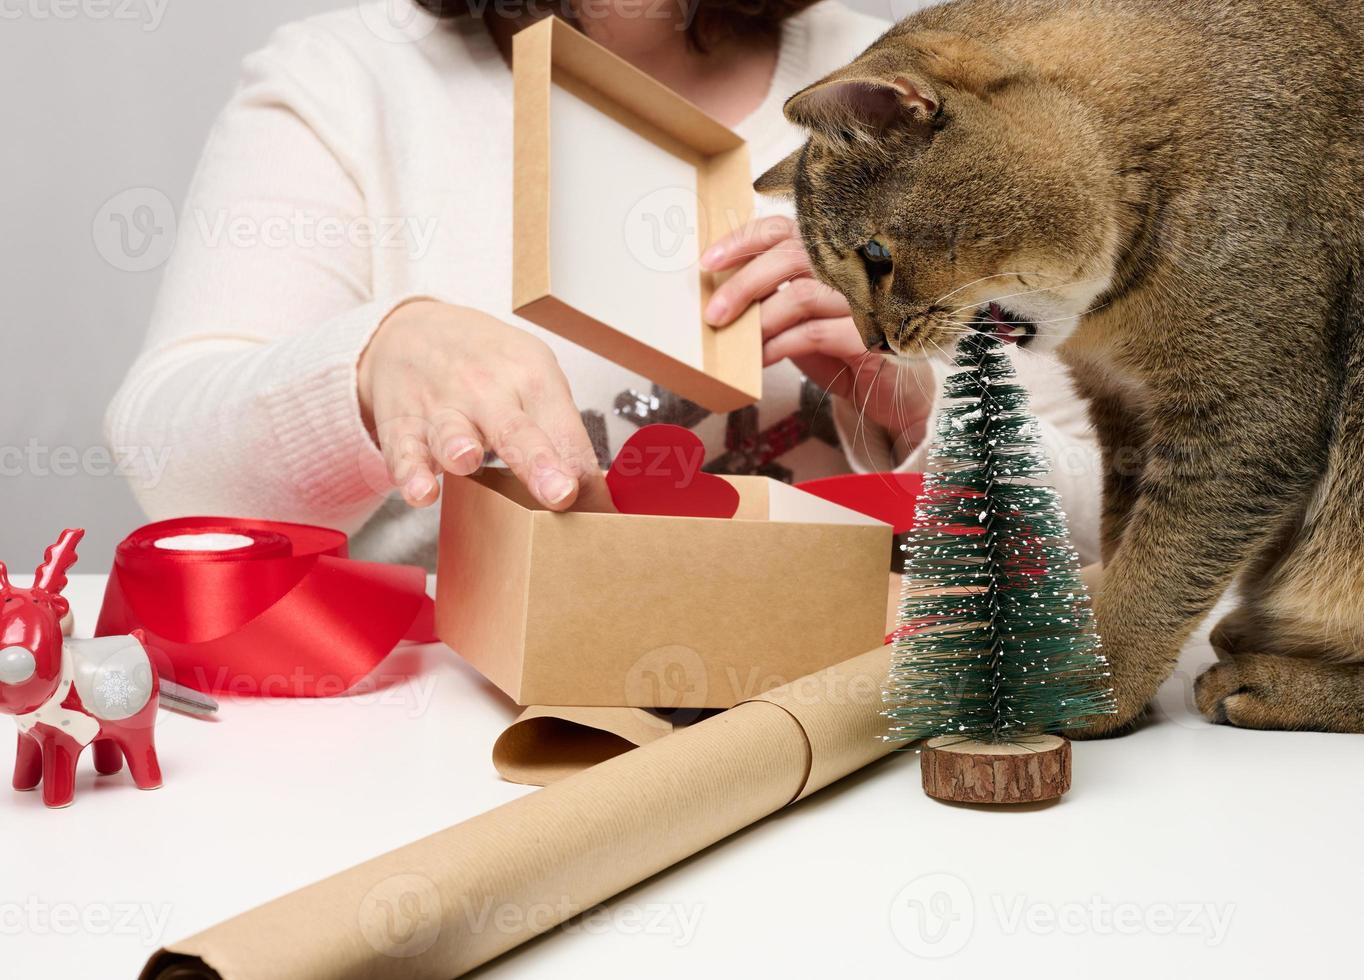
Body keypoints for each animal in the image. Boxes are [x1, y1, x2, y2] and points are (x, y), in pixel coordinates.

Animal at [758, 0, 1364, 737]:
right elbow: (1123, 546)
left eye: (876, 256)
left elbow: (1154, 578)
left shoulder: (1247, 419)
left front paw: (1095, 689)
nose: (875, 344)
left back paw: (1269, 681)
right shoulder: (1127, 421)